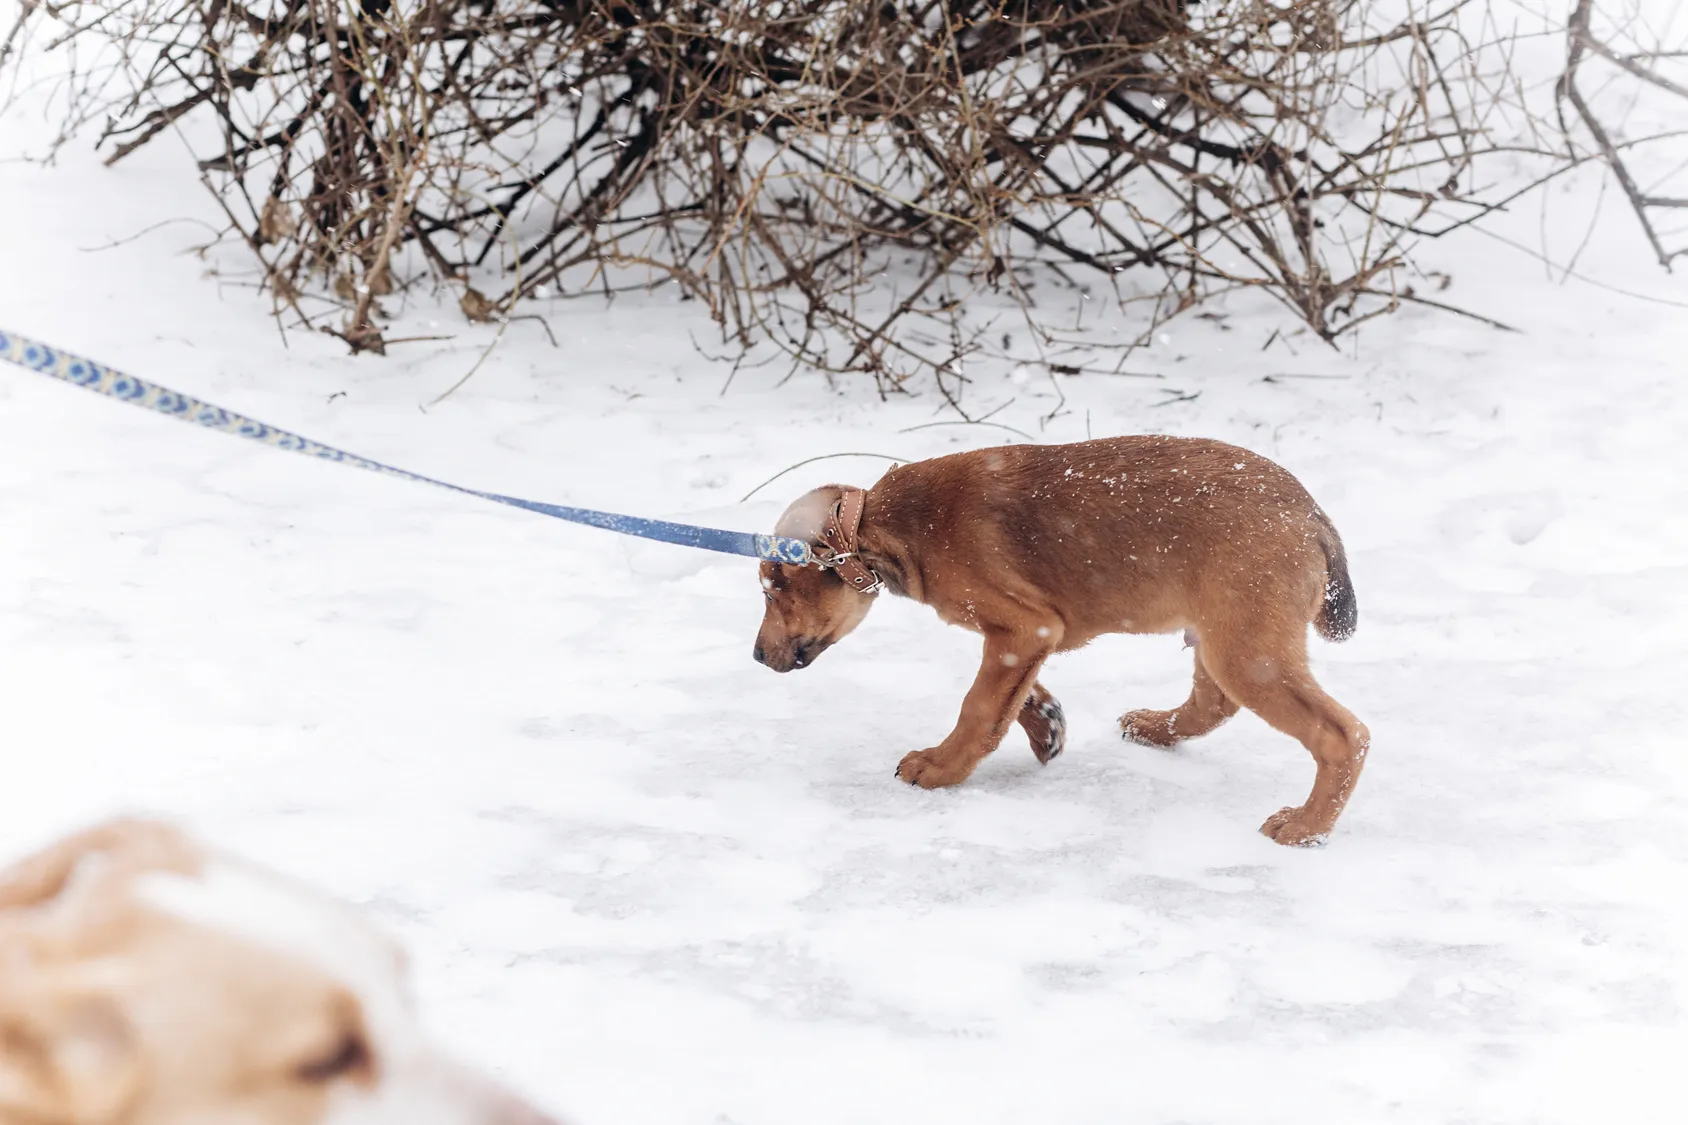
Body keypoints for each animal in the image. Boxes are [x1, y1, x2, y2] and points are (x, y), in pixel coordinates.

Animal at [759, 432, 1363, 844]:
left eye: (775, 587)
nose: (758, 656)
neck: (892, 526)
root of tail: (1313, 517)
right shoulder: (1024, 639)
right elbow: (1013, 696)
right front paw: (1046, 724)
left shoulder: (1024, 627)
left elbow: (978, 706)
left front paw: (940, 768)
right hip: (1222, 634)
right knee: (1212, 703)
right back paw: (1153, 728)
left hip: (1246, 648)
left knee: (1343, 735)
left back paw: (1305, 826)